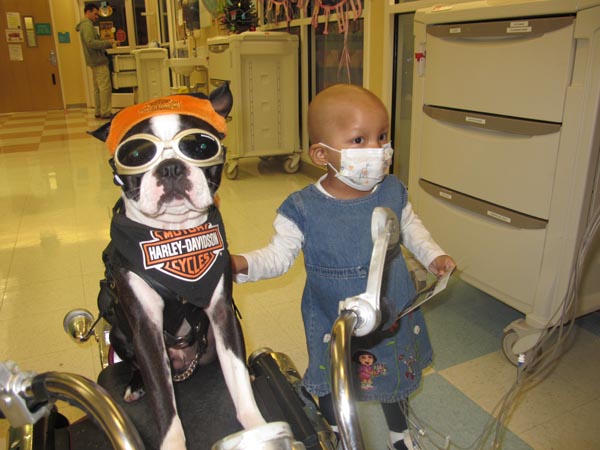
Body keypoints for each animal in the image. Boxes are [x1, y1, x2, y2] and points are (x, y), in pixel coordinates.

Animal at [90, 83, 265, 449]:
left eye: (200, 146)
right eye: (135, 154)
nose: (171, 166)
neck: (176, 239)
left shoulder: (223, 315)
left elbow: (239, 381)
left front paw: (257, 426)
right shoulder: (147, 330)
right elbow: (164, 403)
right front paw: (173, 442)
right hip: (122, 336)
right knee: (137, 366)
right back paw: (134, 385)